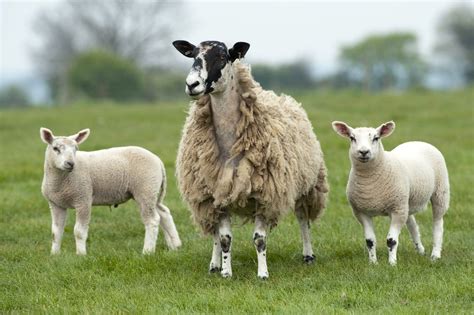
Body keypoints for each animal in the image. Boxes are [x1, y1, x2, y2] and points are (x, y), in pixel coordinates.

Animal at [39, 127, 181, 256]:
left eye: (76, 149)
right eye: (55, 148)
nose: (70, 163)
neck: (61, 181)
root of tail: (157, 160)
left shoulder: (83, 199)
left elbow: (79, 231)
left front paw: (81, 254)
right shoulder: (55, 204)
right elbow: (56, 232)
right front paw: (54, 254)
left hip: (146, 189)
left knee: (152, 220)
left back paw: (148, 251)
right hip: (152, 191)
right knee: (164, 213)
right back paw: (175, 245)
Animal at [172, 39, 328, 278]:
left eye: (223, 57)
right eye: (193, 56)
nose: (192, 84)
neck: (229, 144)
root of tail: (284, 98)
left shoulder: (266, 194)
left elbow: (259, 239)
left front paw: (262, 274)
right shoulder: (217, 193)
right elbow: (224, 239)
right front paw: (226, 272)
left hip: (307, 186)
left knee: (303, 220)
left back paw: (308, 255)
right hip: (208, 199)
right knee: (214, 231)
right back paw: (214, 265)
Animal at [332, 121, 450, 266]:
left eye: (376, 138)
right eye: (352, 138)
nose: (364, 152)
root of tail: (417, 141)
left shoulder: (396, 210)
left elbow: (391, 240)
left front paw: (392, 263)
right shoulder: (361, 212)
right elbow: (370, 241)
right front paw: (373, 263)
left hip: (440, 192)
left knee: (438, 224)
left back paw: (435, 255)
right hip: (405, 202)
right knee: (412, 224)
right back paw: (420, 250)